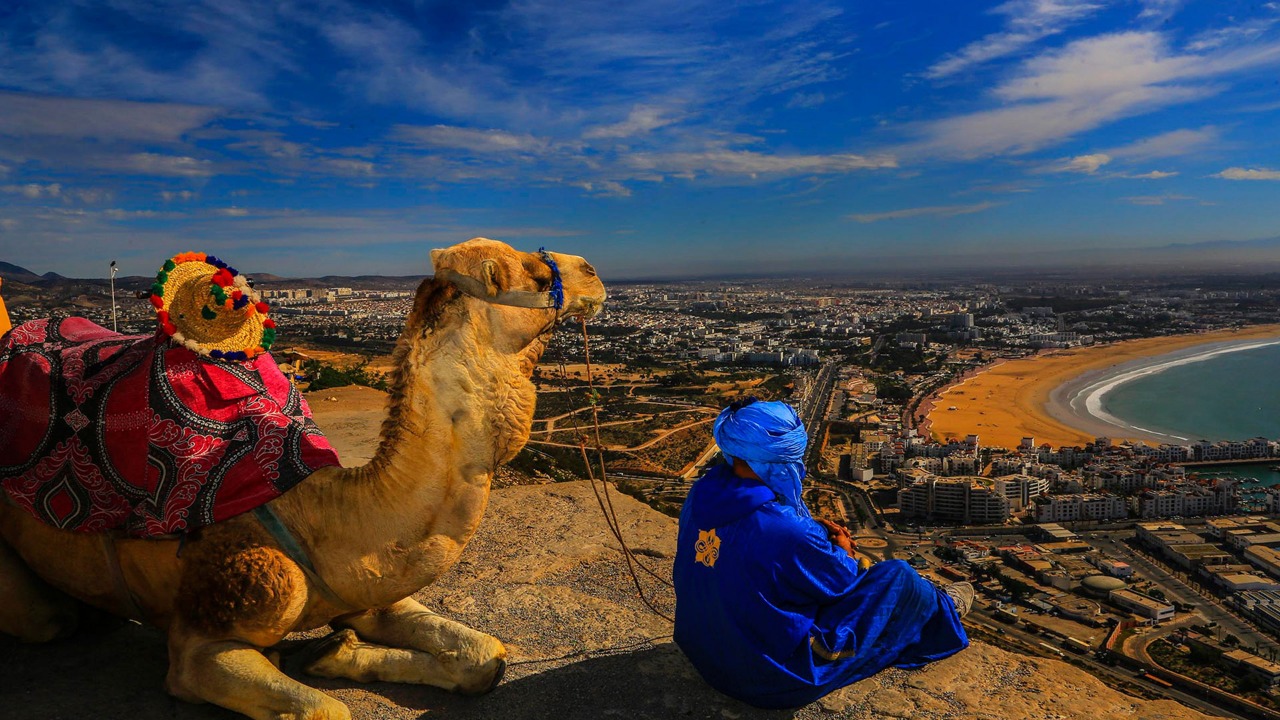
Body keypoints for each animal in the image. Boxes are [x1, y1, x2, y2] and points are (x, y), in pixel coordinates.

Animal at [0, 238, 606, 712]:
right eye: (532, 271)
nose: (593, 270)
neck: (325, 517)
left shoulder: (370, 586)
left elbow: (487, 656)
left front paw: (333, 652)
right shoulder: (204, 641)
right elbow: (324, 708)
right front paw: (322, 659)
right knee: (45, 619)